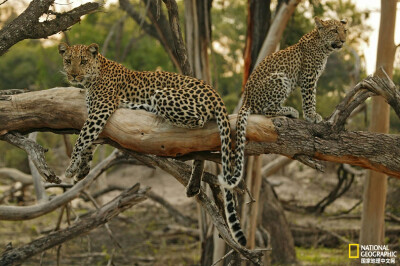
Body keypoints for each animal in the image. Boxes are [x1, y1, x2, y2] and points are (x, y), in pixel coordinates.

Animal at [58, 43, 247, 245]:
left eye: (83, 61)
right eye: (68, 61)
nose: (74, 75)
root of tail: (214, 92)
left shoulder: (101, 108)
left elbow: (82, 137)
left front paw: (71, 167)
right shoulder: (97, 115)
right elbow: (90, 142)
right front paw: (82, 169)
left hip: (162, 95)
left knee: (198, 121)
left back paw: (155, 113)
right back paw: (194, 185)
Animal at [219, 16, 346, 188]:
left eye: (344, 31)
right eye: (334, 31)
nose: (343, 40)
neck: (324, 47)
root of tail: (246, 100)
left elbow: (312, 97)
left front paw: (312, 115)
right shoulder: (308, 77)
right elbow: (309, 98)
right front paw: (311, 116)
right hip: (280, 78)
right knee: (267, 110)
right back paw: (291, 111)